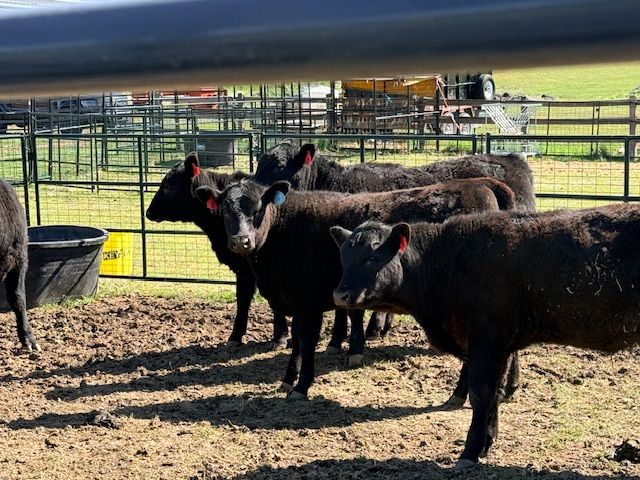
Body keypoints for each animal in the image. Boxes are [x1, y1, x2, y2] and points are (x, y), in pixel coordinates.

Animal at [195, 176, 518, 401]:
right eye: (225, 210)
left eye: (258, 208)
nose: (241, 241)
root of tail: (481, 183)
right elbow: (297, 342)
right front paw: (288, 379)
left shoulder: (308, 302)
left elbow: (306, 341)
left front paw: (301, 385)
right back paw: (508, 388)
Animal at [331, 204, 640, 467]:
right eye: (343, 257)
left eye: (373, 256)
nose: (340, 295)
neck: (448, 261)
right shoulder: (502, 345)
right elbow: (494, 393)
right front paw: (486, 444)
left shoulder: (486, 338)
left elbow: (481, 393)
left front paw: (469, 452)